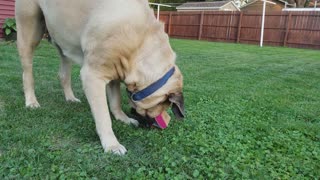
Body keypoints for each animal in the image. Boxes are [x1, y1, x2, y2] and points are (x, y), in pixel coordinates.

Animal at [15, 0, 185, 155]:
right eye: (160, 108)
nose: (157, 124)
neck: (140, 46)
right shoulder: (93, 77)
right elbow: (103, 116)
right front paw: (111, 144)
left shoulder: (116, 71)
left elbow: (115, 101)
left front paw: (123, 119)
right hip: (29, 29)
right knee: (27, 72)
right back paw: (31, 101)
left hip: (63, 41)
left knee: (63, 74)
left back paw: (70, 98)